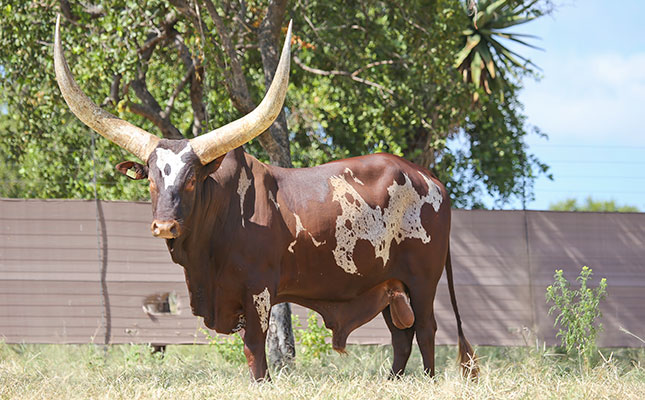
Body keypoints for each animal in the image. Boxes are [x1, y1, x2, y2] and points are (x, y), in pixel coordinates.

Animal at [53, 15, 477, 381]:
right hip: (390, 283)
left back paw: (427, 380)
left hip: (422, 279)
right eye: (152, 181)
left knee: (425, 330)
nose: (164, 225)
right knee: (401, 335)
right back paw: (392, 382)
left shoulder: (257, 291)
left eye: (191, 181)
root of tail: (431, 180)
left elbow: (255, 348)